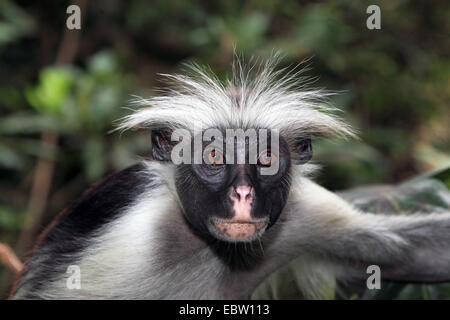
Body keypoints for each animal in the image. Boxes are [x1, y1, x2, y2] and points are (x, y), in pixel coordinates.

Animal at [10, 57, 450, 300]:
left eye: (267, 159)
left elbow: (414, 253)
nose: (242, 195)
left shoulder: (302, 213)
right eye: (214, 157)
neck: (212, 249)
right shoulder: (128, 242)